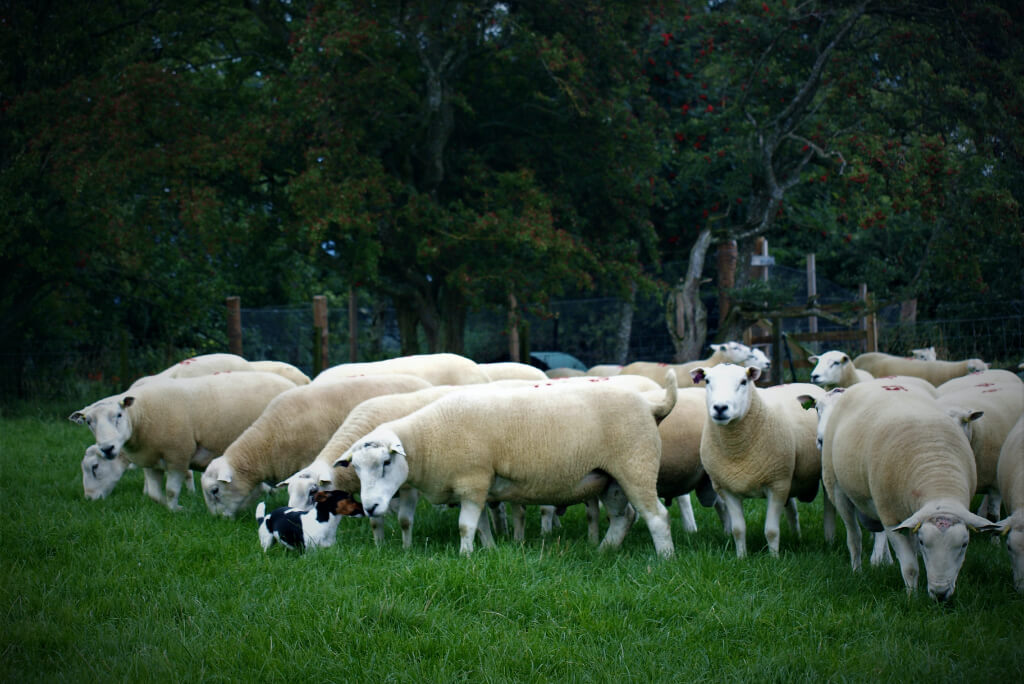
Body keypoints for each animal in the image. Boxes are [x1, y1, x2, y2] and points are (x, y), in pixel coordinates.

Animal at [69, 372, 296, 510]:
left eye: (118, 415)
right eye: (88, 422)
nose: (89, 498)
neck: (140, 415)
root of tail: (288, 382)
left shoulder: (178, 454)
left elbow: (171, 488)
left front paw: (177, 509)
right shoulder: (150, 460)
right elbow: (155, 493)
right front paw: (164, 506)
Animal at [333, 371, 680, 557]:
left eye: (387, 461)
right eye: (357, 469)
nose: (370, 507)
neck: (427, 439)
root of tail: (651, 404)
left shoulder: (473, 480)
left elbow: (465, 525)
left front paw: (464, 556)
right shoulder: (478, 488)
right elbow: (482, 525)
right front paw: (488, 550)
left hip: (635, 465)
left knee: (657, 516)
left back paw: (664, 558)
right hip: (609, 477)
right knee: (624, 517)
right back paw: (603, 551)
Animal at [689, 364, 827, 558]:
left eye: (743, 382)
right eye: (707, 381)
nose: (720, 408)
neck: (736, 450)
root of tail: (805, 383)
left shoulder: (776, 485)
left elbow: (771, 530)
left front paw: (774, 558)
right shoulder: (726, 488)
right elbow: (738, 529)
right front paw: (741, 557)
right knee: (792, 511)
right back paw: (797, 537)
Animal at [821, 380, 1000, 601]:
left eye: (965, 544)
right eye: (924, 542)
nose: (940, 594)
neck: (938, 478)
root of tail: (872, 381)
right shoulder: (891, 519)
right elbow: (910, 567)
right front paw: (912, 598)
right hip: (836, 486)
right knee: (854, 537)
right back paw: (857, 571)